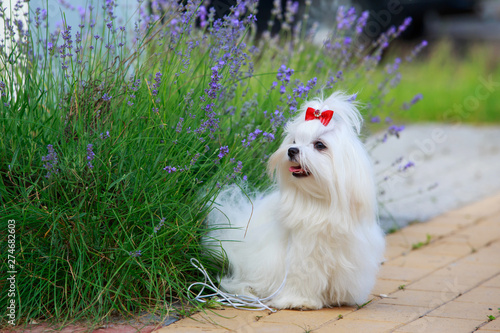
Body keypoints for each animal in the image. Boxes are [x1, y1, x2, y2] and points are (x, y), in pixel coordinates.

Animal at [205, 91, 384, 308]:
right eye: (294, 141)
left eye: (319, 145)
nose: (292, 151)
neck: (319, 202)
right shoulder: (302, 258)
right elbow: (302, 278)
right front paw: (299, 301)